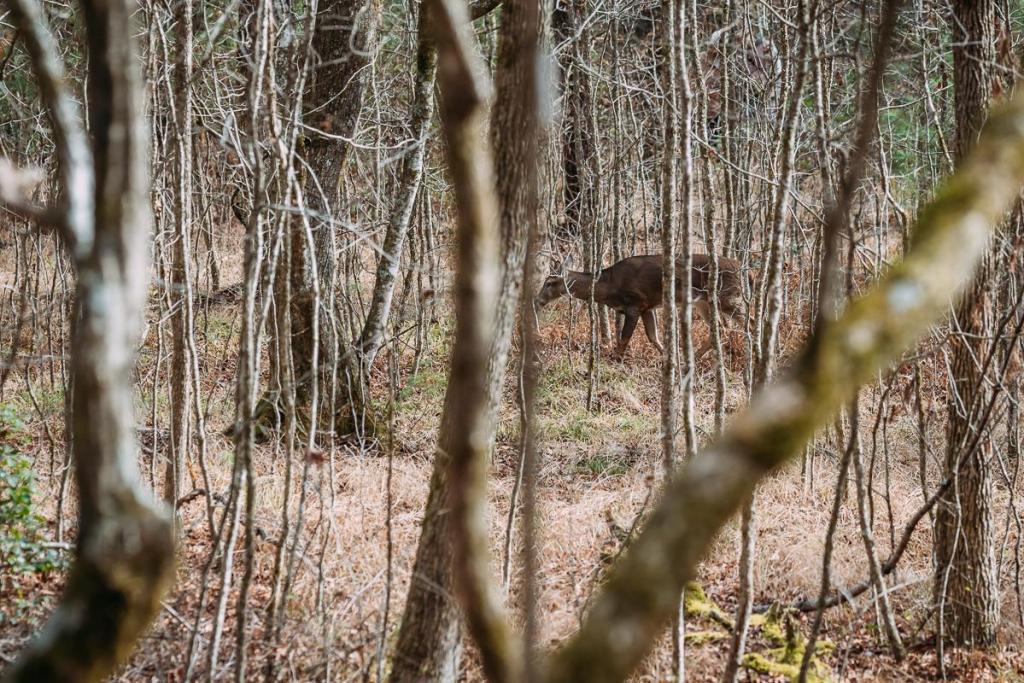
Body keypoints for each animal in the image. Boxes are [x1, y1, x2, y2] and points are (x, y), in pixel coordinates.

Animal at [535, 254, 749, 359]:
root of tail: (743, 269)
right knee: (720, 328)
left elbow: (624, 339)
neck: (609, 286)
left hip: (728, 297)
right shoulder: (648, 307)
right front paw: (670, 359)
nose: (537, 301)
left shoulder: (635, 305)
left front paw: (615, 360)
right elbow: (653, 337)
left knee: (749, 321)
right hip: (704, 302)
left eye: (549, 283)